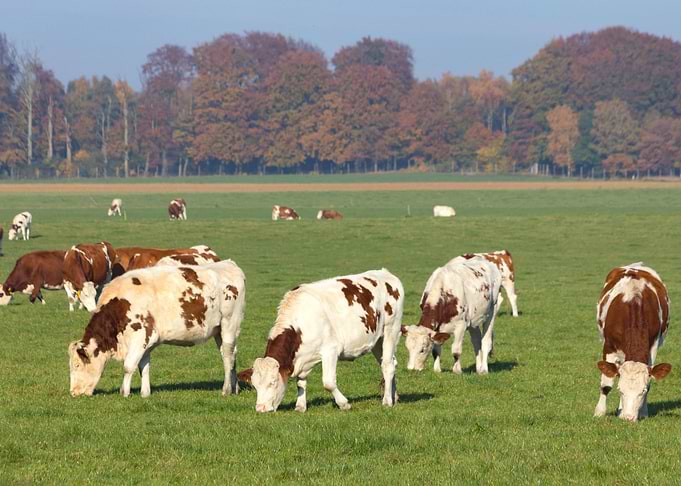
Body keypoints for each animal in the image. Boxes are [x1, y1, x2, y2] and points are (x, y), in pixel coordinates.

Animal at [68, 260, 246, 398]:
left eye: (76, 365)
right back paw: (235, 387)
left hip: (229, 324)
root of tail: (229, 264)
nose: (73, 392)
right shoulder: (147, 339)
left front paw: (124, 392)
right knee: (231, 355)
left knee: (228, 356)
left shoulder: (139, 336)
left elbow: (128, 366)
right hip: (218, 331)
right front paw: (145, 392)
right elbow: (143, 366)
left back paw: (226, 389)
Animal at [245, 269, 404, 413]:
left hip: (391, 329)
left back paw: (387, 401)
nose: (260, 408)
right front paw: (300, 406)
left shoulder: (330, 351)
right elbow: (301, 381)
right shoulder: (302, 357)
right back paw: (394, 396)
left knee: (388, 366)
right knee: (389, 363)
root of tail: (386, 273)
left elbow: (328, 383)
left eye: (273, 382)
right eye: (255, 385)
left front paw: (344, 404)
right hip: (377, 340)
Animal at [594, 263, 672, 422]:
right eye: (620, 390)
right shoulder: (609, 346)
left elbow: (650, 381)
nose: (628, 418)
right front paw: (599, 412)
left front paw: (643, 412)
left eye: (642, 391)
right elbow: (606, 384)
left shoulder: (653, 347)